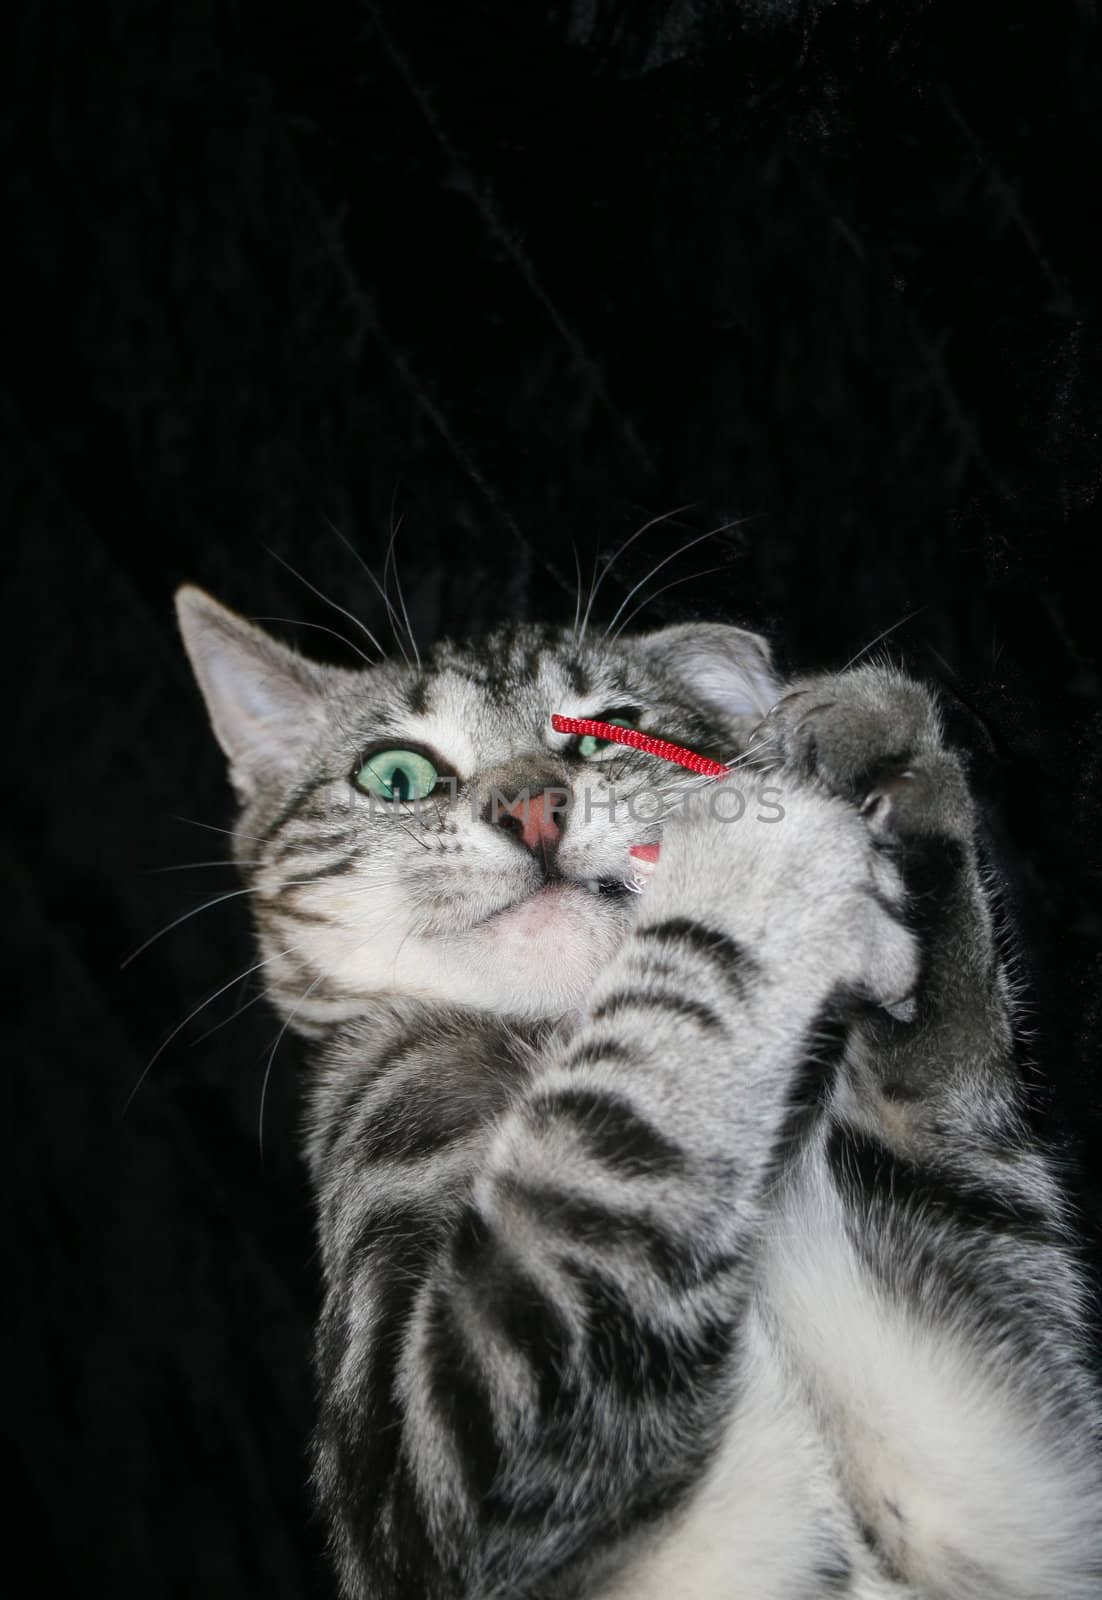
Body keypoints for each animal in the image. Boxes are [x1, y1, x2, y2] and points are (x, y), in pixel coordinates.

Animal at [174, 588, 1100, 1600]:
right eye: (396, 775)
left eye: (610, 730)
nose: (532, 802)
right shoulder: (434, 1452)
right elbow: (615, 1133)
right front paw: (757, 863)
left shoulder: (986, 1475)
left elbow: (940, 1111)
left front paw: (886, 756)